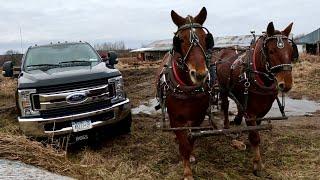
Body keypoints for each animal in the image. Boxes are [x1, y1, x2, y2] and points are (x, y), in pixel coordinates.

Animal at [156, 6, 214, 179]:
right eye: (180, 40)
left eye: (205, 38)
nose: (200, 74)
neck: (188, 88)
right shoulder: (176, 118)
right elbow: (183, 144)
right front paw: (187, 171)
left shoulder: (198, 116)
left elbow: (191, 139)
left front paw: (191, 155)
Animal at [212, 21, 296, 175]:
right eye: (271, 51)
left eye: (291, 50)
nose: (286, 84)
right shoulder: (251, 112)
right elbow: (255, 137)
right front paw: (257, 164)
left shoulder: (262, 110)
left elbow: (256, 129)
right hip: (222, 87)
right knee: (225, 105)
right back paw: (227, 125)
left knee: (238, 104)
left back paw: (237, 119)